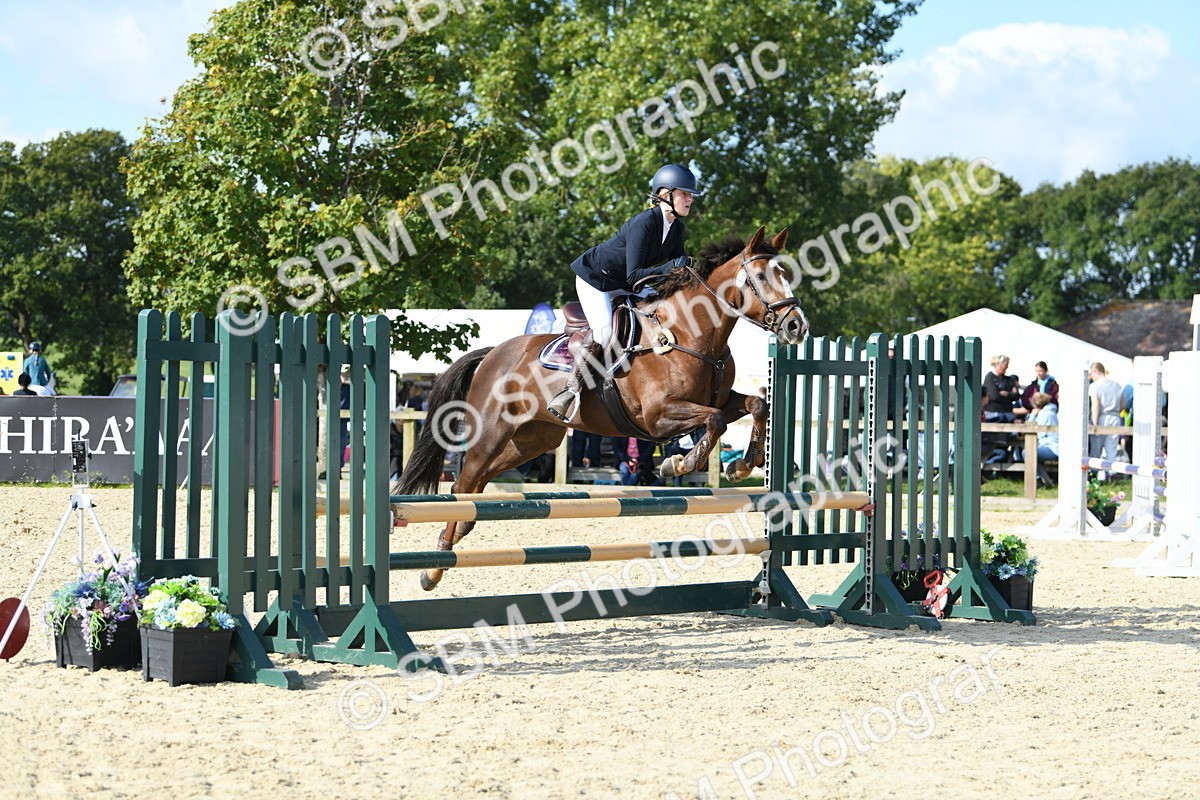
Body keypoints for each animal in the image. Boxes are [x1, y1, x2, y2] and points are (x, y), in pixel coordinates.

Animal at [397, 226, 808, 590]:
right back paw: (433, 568)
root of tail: (492, 353)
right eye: (761, 275)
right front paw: (678, 464)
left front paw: (743, 464)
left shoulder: (718, 398)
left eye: (786, 274)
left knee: (478, 486)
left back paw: (457, 536)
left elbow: (756, 404)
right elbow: (716, 421)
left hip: (532, 440)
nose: (797, 327)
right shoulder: (658, 417)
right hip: (491, 433)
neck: (690, 334)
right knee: (463, 482)